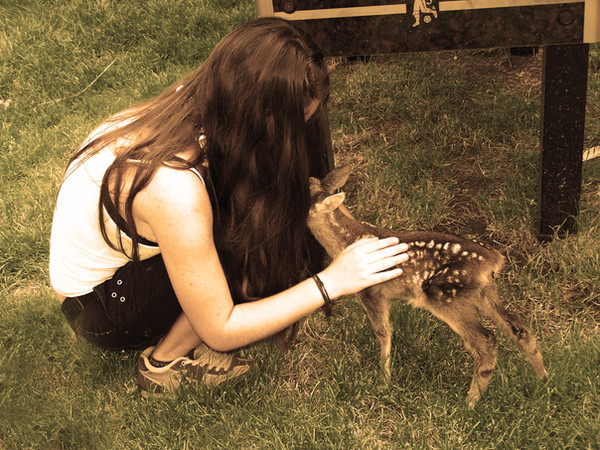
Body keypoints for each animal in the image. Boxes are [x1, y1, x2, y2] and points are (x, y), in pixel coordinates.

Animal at [307, 166, 548, 407]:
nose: (307, 178)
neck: (346, 240)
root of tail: (493, 260)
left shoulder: (371, 291)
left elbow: (382, 332)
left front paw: (383, 381)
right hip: (483, 291)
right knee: (519, 329)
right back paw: (543, 380)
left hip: (444, 294)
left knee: (486, 340)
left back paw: (469, 404)